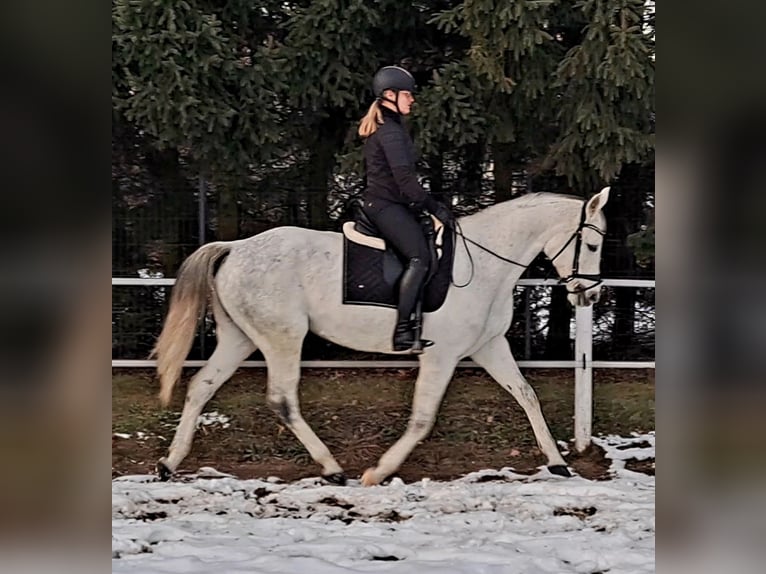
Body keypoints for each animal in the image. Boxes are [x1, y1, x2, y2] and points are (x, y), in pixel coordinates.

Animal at [152, 187, 610, 485]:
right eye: (590, 244)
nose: (589, 294)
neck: (483, 263)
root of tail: (235, 247)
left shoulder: (488, 346)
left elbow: (526, 394)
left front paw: (557, 463)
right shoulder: (442, 355)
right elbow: (423, 418)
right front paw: (379, 472)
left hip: (240, 338)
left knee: (201, 386)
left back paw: (169, 464)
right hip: (283, 338)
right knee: (282, 400)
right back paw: (333, 469)